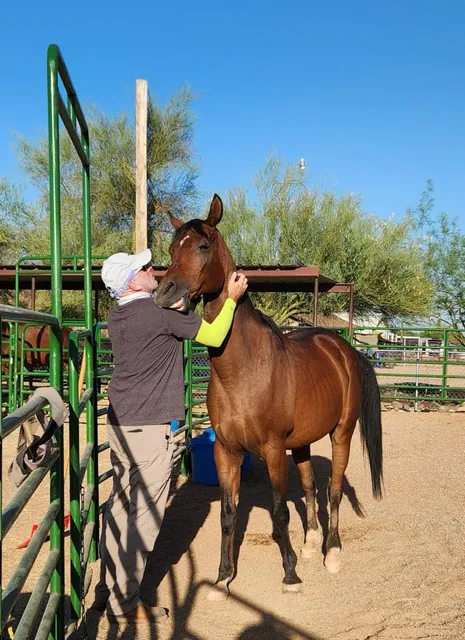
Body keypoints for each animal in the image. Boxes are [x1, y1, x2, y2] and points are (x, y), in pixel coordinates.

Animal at [155, 194, 383, 600]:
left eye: (203, 246)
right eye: (170, 249)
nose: (165, 294)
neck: (243, 372)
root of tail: (342, 348)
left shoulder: (274, 451)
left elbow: (279, 512)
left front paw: (290, 574)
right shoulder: (226, 452)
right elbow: (228, 515)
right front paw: (222, 579)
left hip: (341, 433)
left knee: (333, 490)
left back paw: (331, 553)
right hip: (303, 443)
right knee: (310, 488)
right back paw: (311, 545)